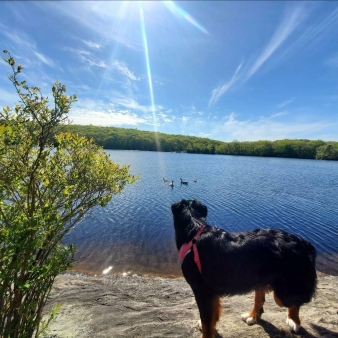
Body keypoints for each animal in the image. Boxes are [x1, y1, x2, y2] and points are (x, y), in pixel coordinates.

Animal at [172, 199, 316, 336]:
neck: (194, 229)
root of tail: (305, 243)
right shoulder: (211, 292)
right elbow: (213, 315)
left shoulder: (202, 291)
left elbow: (207, 325)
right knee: (260, 298)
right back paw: (252, 316)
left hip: (283, 293)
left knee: (296, 301)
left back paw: (293, 321)